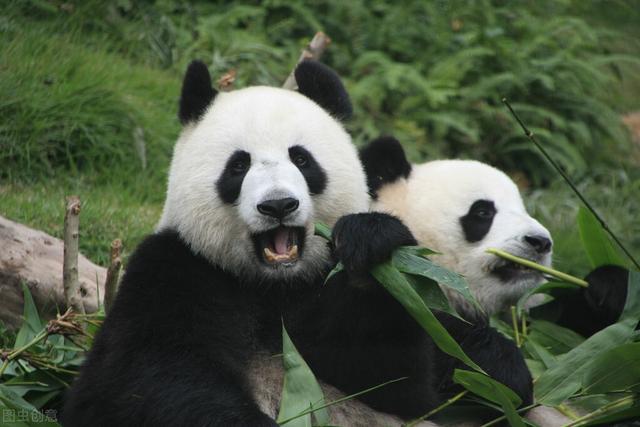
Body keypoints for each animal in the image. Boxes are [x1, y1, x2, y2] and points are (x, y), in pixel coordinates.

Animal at [61, 61, 440, 427]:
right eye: (239, 165)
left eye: (301, 159)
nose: (278, 205)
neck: (273, 285)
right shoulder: (176, 270)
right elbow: (145, 377)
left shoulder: (321, 288)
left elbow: (400, 383)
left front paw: (369, 244)